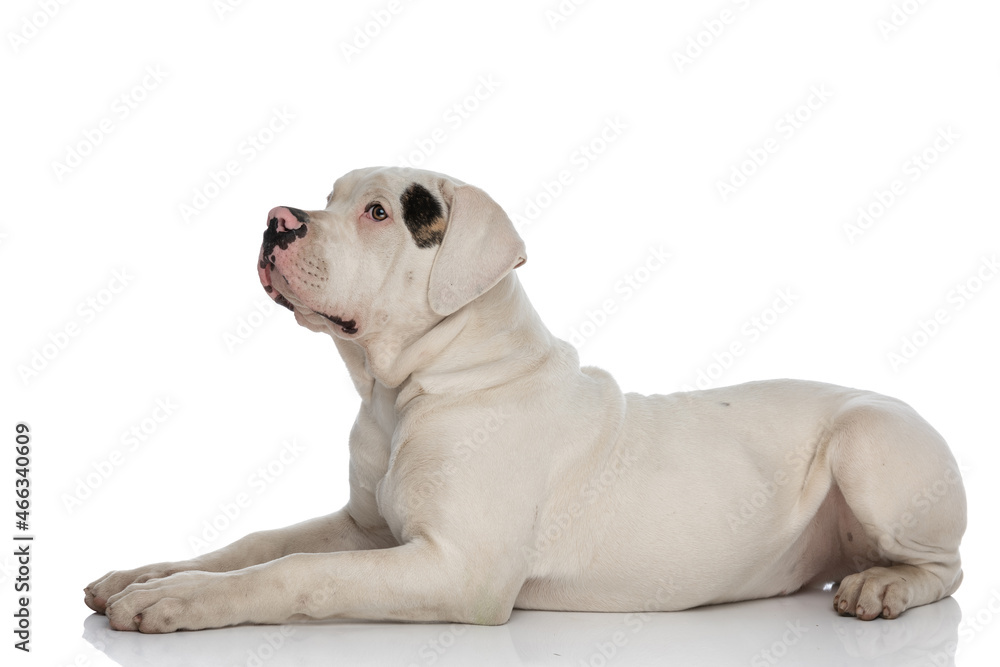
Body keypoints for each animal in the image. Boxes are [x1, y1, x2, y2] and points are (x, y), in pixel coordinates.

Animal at [84, 166, 960, 632]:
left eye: (379, 212)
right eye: (329, 194)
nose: (276, 219)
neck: (407, 391)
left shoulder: (455, 569)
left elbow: (298, 572)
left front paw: (173, 602)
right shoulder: (363, 526)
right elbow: (257, 541)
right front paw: (145, 573)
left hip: (868, 440)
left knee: (944, 567)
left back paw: (885, 585)